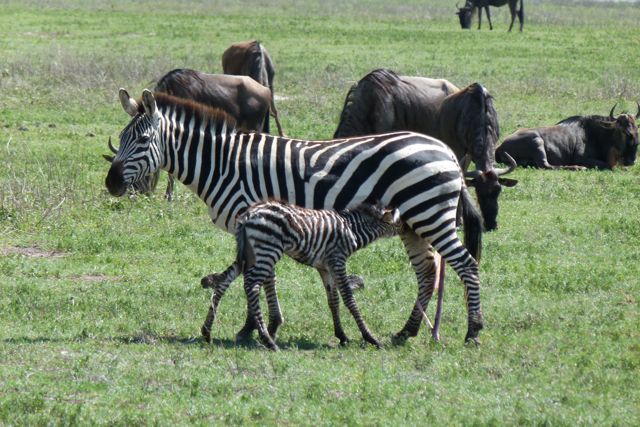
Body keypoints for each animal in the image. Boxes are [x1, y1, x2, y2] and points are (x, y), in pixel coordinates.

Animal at [203, 201, 401, 350]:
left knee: (224, 281)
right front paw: (370, 338)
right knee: (251, 286)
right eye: (400, 224)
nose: (407, 230)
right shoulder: (337, 260)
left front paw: (342, 336)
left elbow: (333, 300)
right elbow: (349, 298)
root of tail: (248, 215)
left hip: (249, 253)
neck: (352, 230)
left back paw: (206, 331)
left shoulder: (325, 267)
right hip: (267, 250)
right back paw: (268, 340)